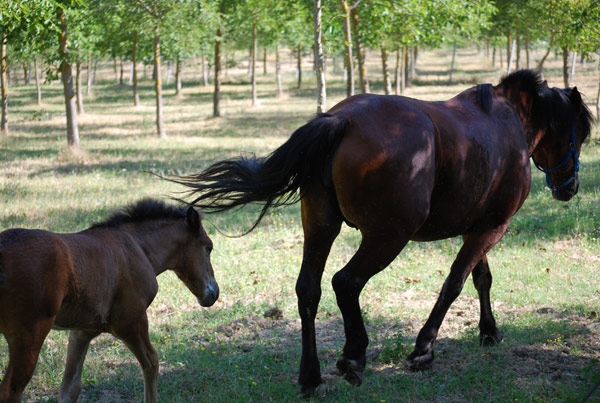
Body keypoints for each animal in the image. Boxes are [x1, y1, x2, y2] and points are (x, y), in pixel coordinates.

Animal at [0, 200, 219, 403]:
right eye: (208, 247)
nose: (214, 293)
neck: (137, 247)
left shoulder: (82, 331)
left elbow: (70, 387)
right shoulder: (130, 323)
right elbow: (152, 363)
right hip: (30, 334)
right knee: (11, 390)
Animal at [176, 70, 592, 398]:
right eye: (582, 134)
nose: (569, 187)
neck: (508, 121)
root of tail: (341, 119)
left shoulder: (478, 227)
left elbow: (481, 279)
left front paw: (488, 332)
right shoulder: (492, 227)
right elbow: (455, 284)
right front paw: (424, 349)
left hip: (321, 226)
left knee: (308, 290)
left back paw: (311, 376)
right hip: (388, 237)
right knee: (346, 282)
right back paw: (354, 355)